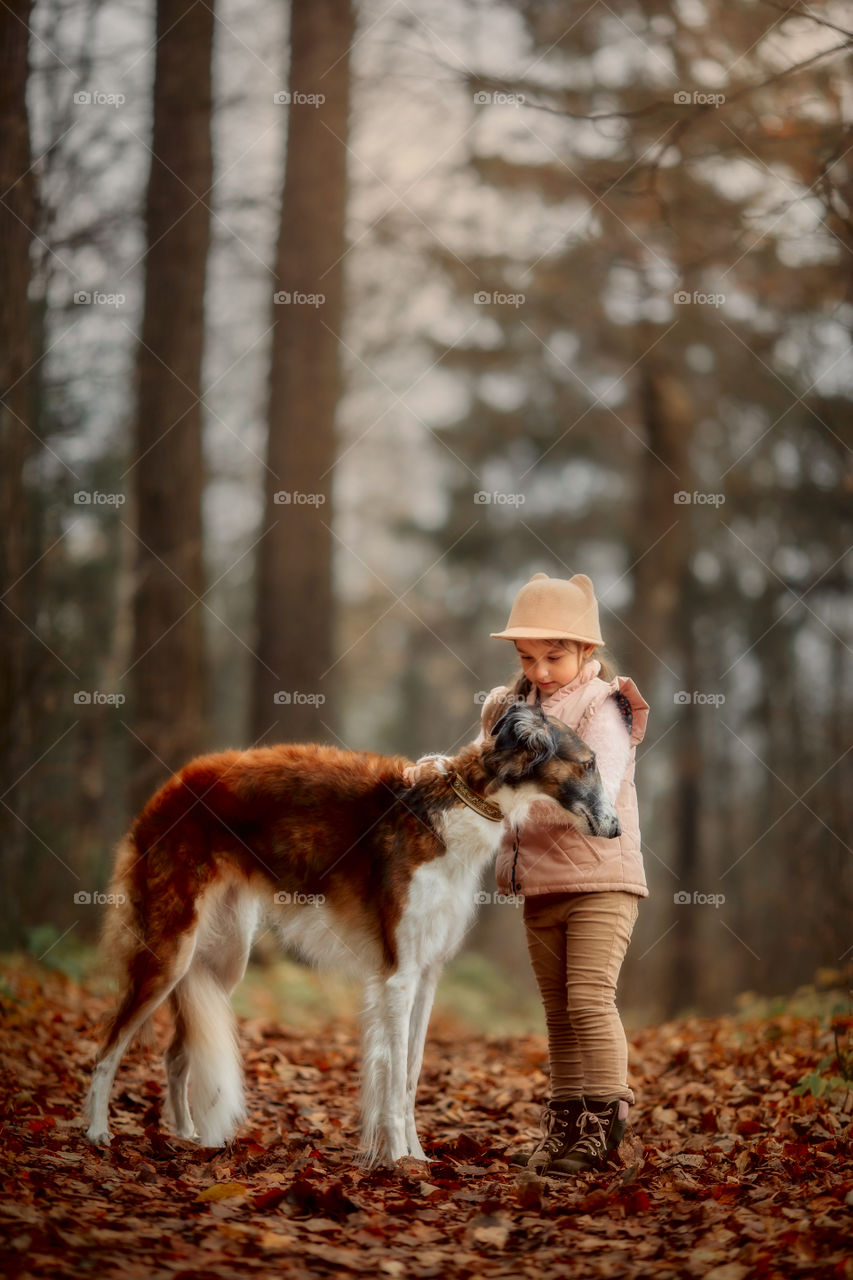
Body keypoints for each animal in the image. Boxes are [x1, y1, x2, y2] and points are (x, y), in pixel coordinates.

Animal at [83, 706, 617, 1167]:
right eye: (589, 763)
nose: (614, 829)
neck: (457, 808)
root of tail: (170, 785)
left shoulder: (427, 974)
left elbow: (410, 1074)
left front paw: (416, 1157)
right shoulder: (399, 974)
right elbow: (396, 1074)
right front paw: (399, 1159)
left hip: (221, 957)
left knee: (177, 1054)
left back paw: (188, 1136)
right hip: (170, 948)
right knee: (107, 1048)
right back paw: (95, 1132)